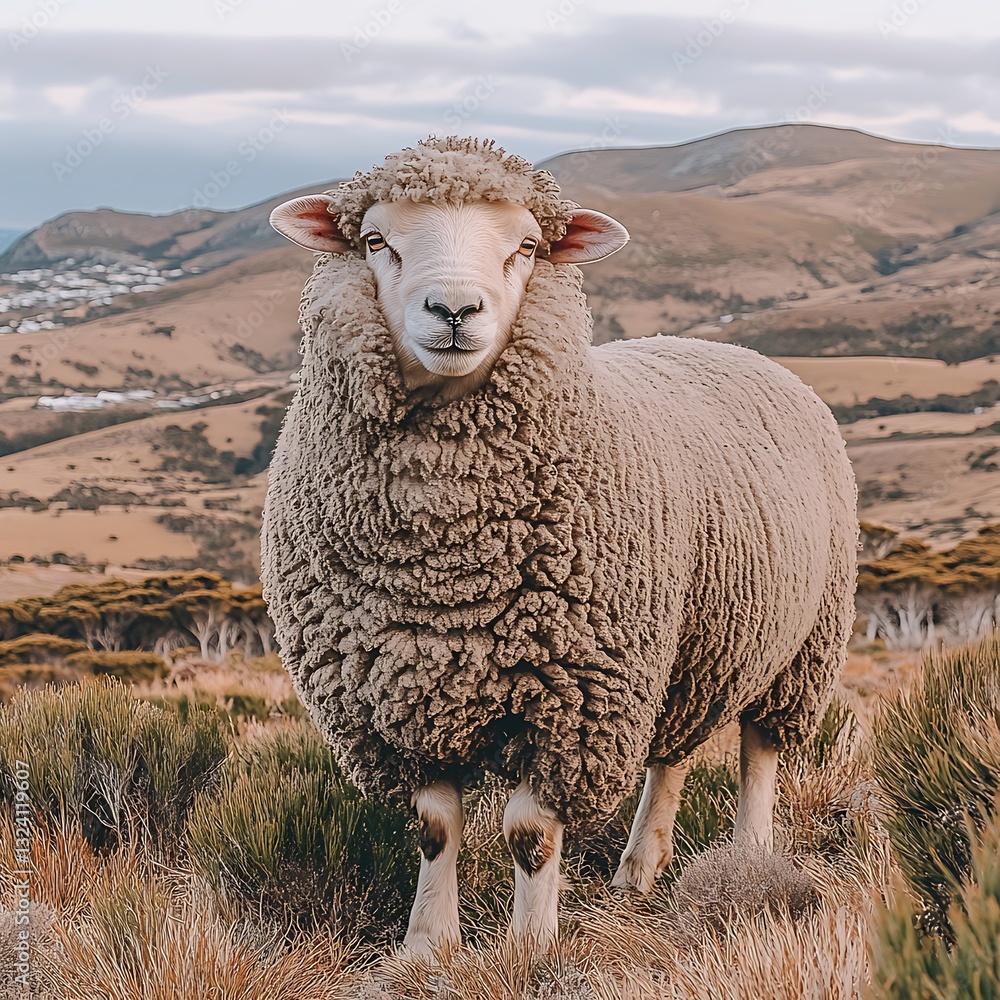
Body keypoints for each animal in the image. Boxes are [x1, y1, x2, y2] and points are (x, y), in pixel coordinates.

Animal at [261, 136, 858, 954]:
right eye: (376, 241)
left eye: (526, 247)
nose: (455, 309)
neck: (445, 568)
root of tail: (728, 345)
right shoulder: (401, 696)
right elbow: (434, 827)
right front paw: (426, 946)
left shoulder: (572, 696)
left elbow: (530, 834)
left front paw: (530, 948)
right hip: (684, 648)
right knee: (671, 753)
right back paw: (638, 871)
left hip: (802, 644)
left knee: (759, 753)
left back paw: (750, 861)